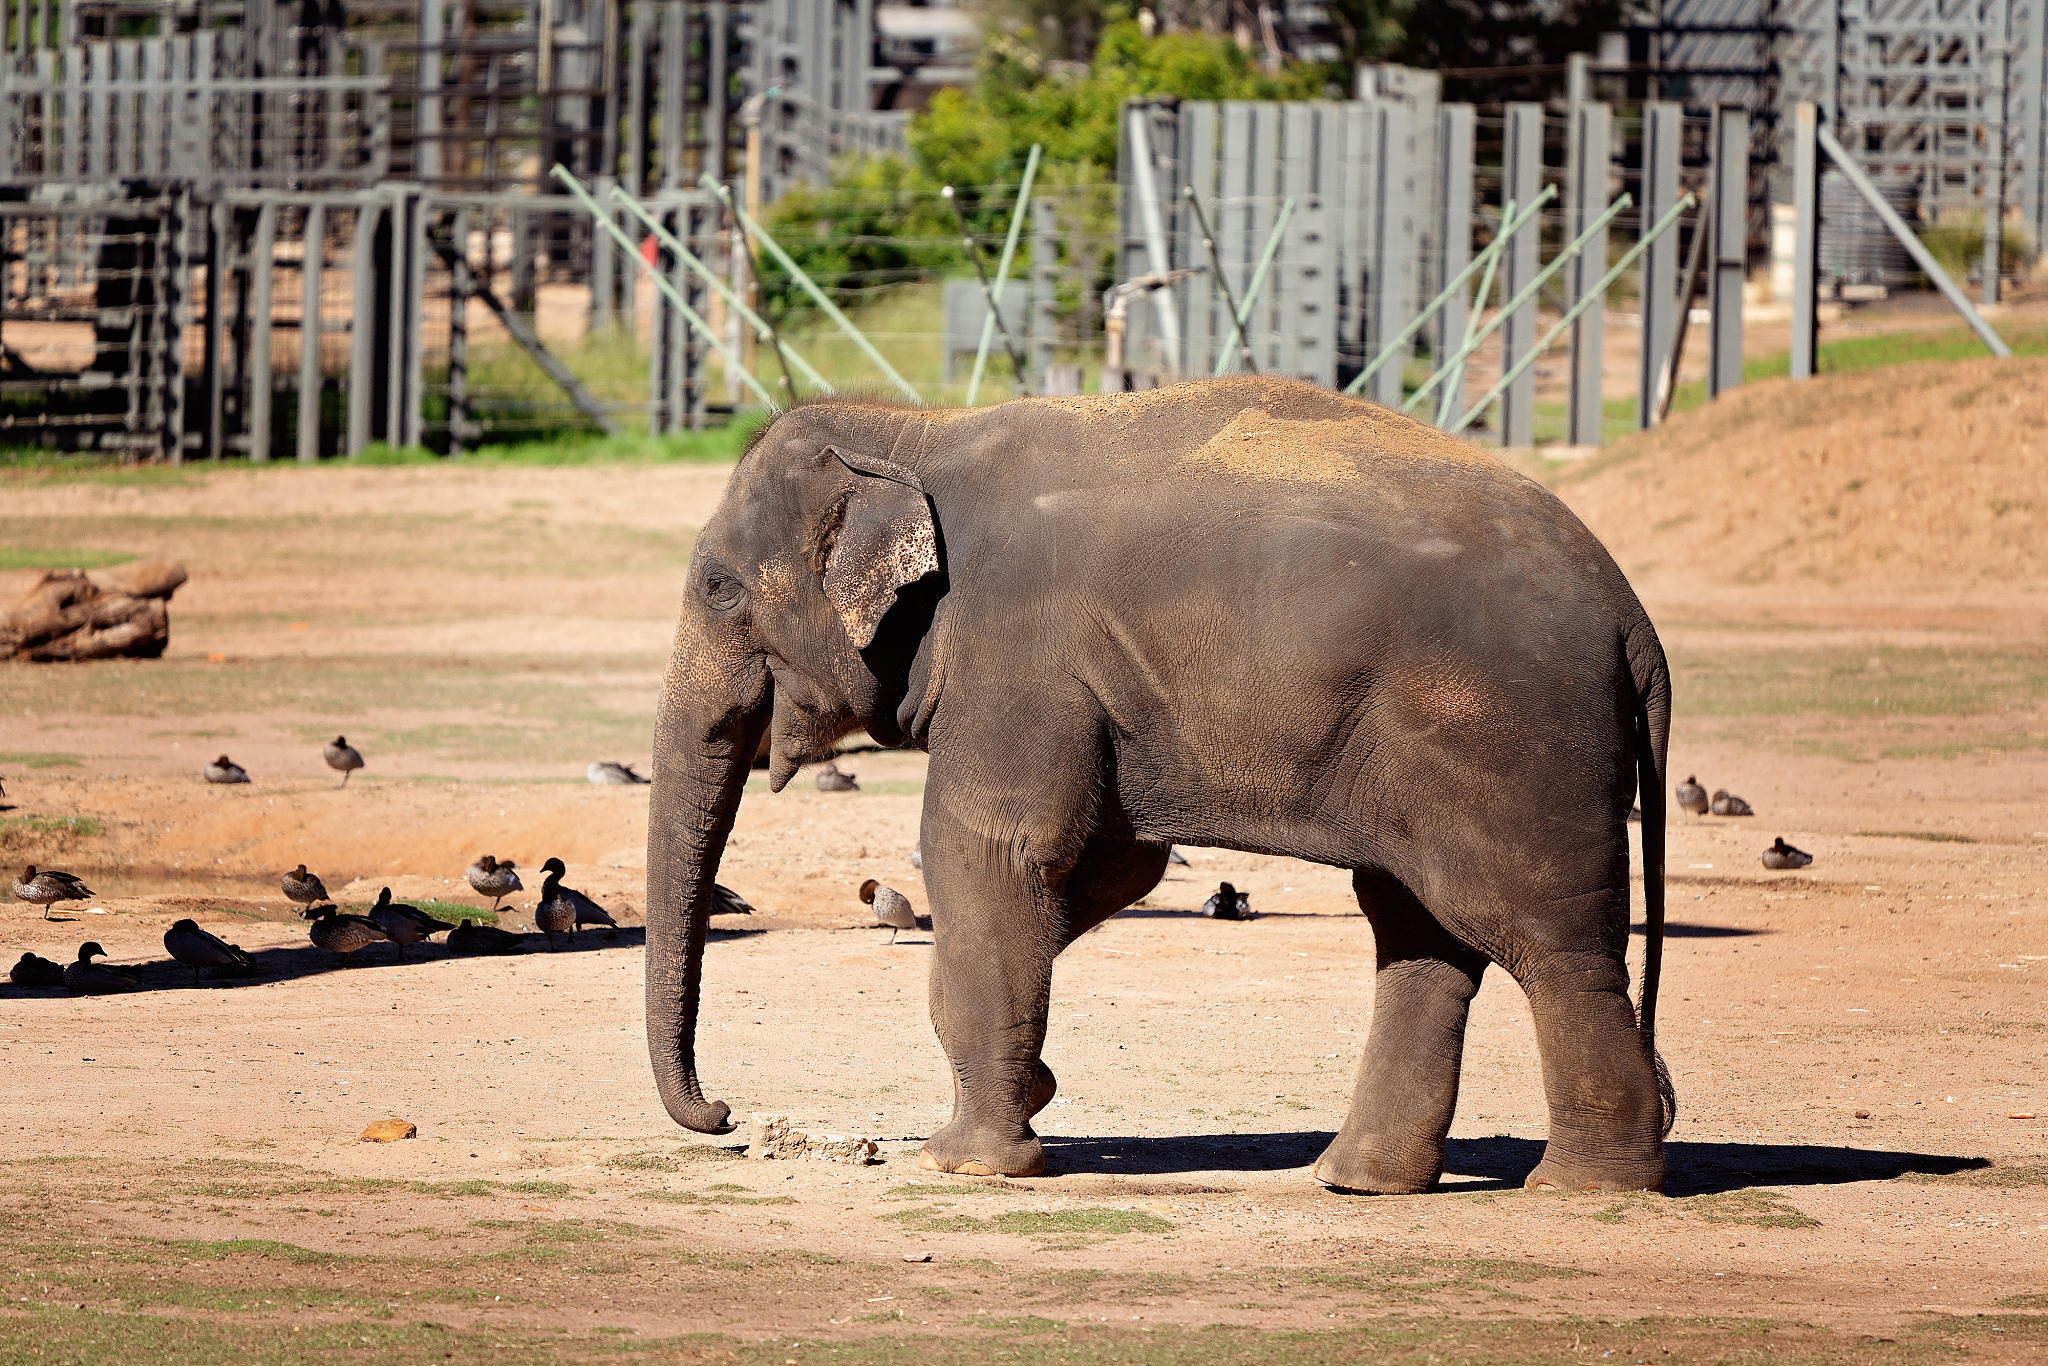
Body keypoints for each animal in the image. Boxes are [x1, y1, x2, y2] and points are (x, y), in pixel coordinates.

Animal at [646, 376, 1673, 1196]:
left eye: (720, 589)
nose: (728, 1113)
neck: (917, 429)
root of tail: (1632, 615)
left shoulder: (1016, 649)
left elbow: (989, 851)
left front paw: (968, 1162)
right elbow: (1110, 866)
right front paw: (1034, 1088)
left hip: (1513, 741)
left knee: (1546, 942)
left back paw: (1584, 1188)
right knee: (1420, 933)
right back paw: (1360, 1181)